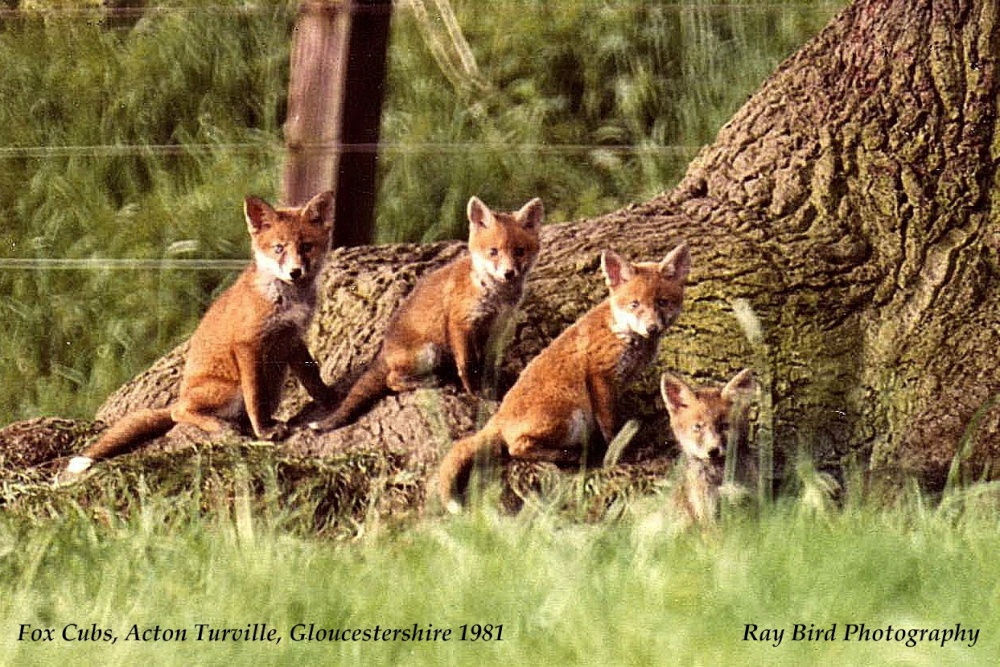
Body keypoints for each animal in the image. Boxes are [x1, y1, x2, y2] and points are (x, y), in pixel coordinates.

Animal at [61, 191, 336, 479]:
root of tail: (183, 393)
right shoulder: (246, 344)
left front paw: (331, 401)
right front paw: (264, 432)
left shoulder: (292, 337)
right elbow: (254, 398)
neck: (286, 298)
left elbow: (312, 376)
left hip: (274, 382)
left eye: (306, 246)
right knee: (179, 412)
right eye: (279, 248)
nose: (295, 272)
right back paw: (222, 426)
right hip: (229, 388)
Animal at [308, 196, 543, 432]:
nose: (509, 273)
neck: (493, 293)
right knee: (391, 381)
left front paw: (490, 384)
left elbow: (486, 363)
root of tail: (384, 351)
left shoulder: (495, 327)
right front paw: (474, 392)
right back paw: (427, 382)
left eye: (519, 251)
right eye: (493, 251)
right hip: (429, 352)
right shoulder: (461, 324)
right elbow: (468, 365)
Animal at [438, 243, 691, 512]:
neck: (621, 332)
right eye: (635, 304)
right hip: (570, 416)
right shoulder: (600, 378)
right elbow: (611, 426)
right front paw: (621, 454)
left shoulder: (618, 385)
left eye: (662, 302)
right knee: (516, 447)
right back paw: (569, 455)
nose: (652, 328)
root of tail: (499, 416)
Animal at [659, 369, 756, 527]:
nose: (713, 451)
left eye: (724, 426)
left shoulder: (749, 502)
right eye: (697, 427)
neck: (720, 478)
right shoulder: (708, 513)